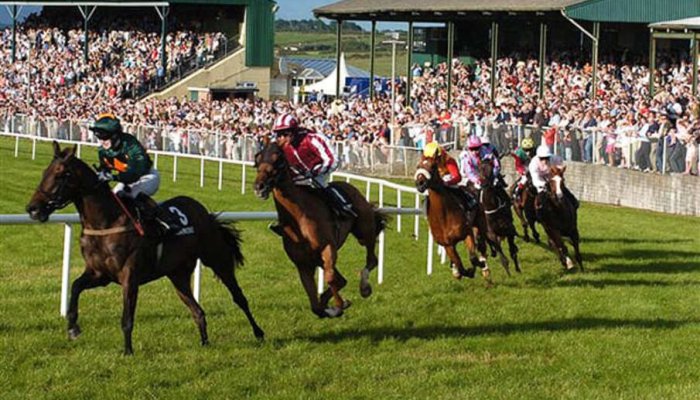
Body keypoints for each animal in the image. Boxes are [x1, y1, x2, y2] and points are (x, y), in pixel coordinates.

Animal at [26, 142, 264, 354]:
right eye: (45, 172)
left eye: (61, 175)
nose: (33, 209)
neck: (106, 222)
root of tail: (206, 213)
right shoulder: (100, 274)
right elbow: (75, 287)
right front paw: (73, 327)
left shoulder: (129, 276)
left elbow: (127, 318)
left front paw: (128, 351)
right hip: (177, 274)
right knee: (197, 310)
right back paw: (205, 342)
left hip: (217, 259)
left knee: (239, 297)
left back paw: (259, 333)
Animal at [253, 141, 388, 318]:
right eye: (258, 158)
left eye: (279, 159)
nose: (259, 187)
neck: (299, 218)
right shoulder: (303, 263)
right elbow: (315, 306)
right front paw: (332, 307)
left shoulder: (328, 247)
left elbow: (330, 279)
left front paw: (339, 304)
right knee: (342, 279)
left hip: (364, 231)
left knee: (371, 259)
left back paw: (364, 288)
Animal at [412, 153, 490, 282]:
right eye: (418, 166)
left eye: (433, 166)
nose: (420, 183)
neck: (444, 215)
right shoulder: (447, 244)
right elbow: (459, 264)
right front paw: (463, 272)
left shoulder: (467, 233)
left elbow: (473, 258)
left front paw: (476, 266)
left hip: (480, 224)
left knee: (482, 246)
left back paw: (485, 268)